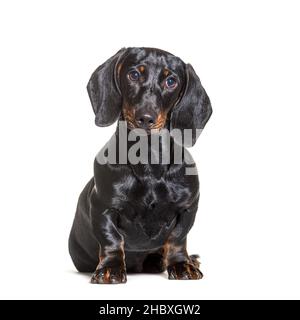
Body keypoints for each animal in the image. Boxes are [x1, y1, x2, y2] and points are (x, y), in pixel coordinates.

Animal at [69, 47, 212, 282]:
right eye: (134, 75)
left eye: (171, 81)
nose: (145, 118)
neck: (148, 160)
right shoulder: (102, 206)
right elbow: (111, 240)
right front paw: (110, 268)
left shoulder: (188, 207)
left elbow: (177, 239)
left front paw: (182, 265)